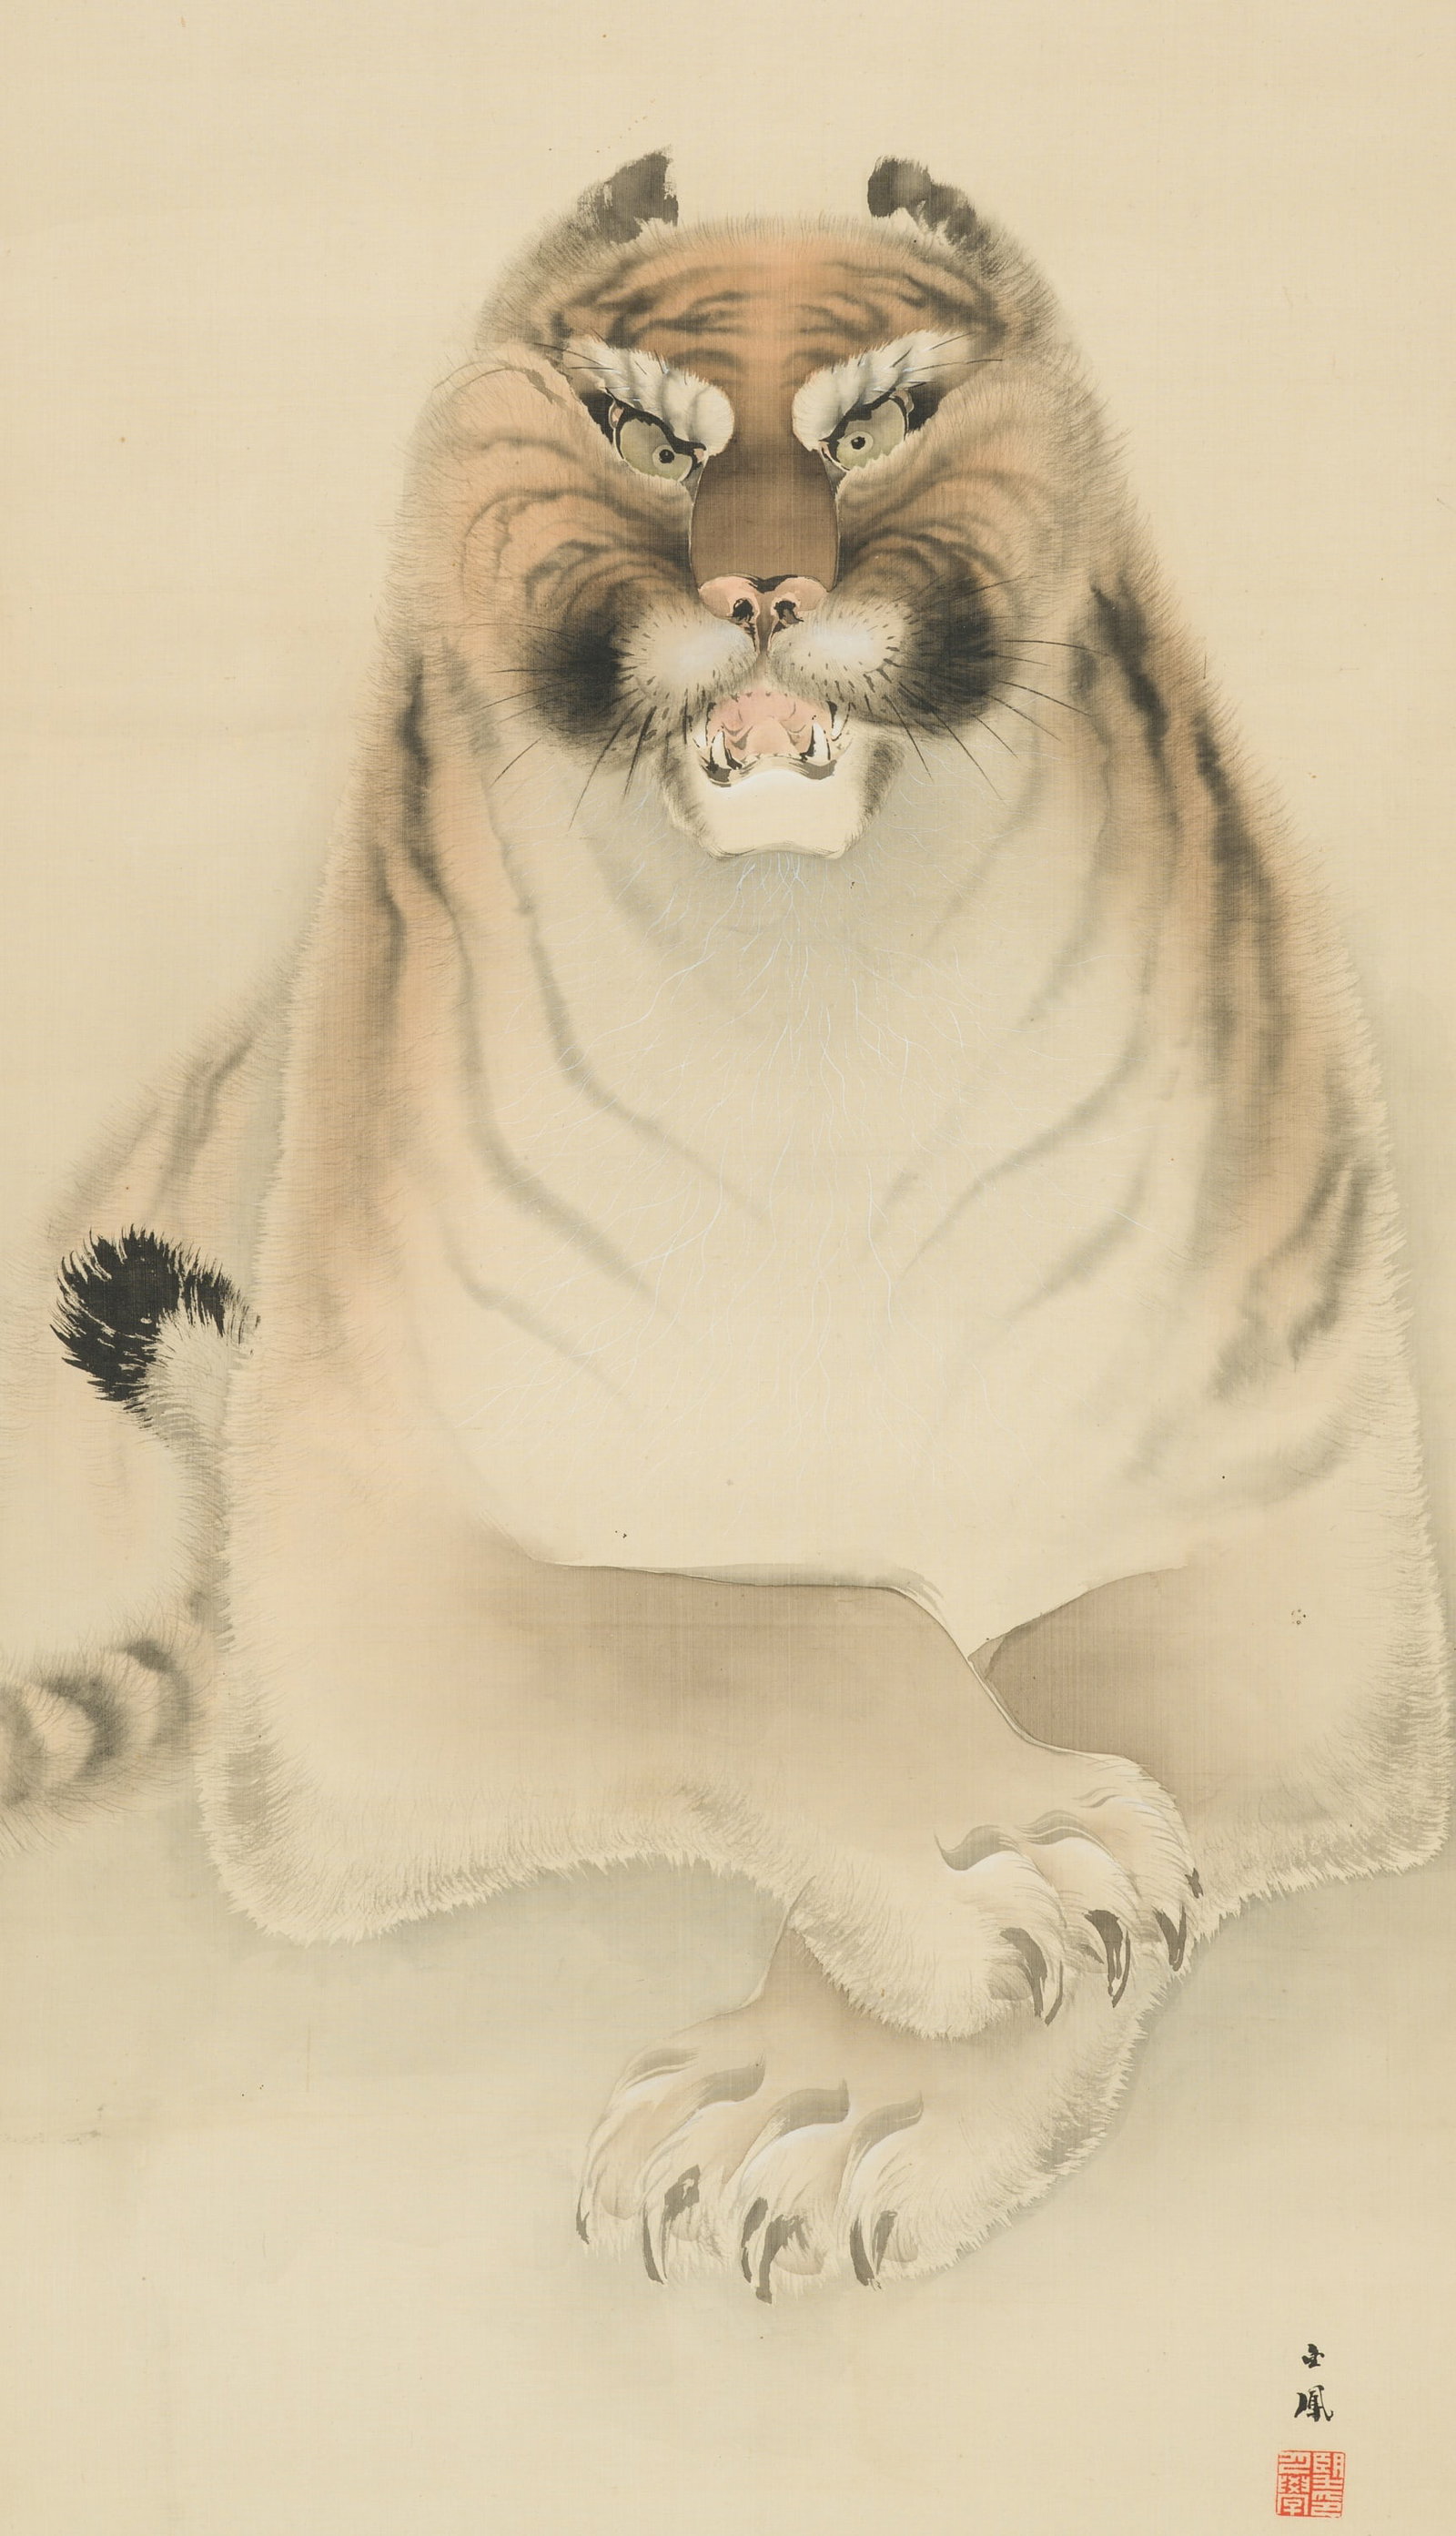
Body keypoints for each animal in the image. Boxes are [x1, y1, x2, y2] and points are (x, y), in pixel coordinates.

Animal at [0, 150, 1447, 2300]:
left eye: (877, 421)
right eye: (637, 436)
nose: (761, 591)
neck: (806, 982)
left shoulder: (1300, 1567)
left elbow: (1059, 1669)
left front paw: (825, 2110)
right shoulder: (357, 1595)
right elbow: (765, 1628)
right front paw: (1010, 1861)